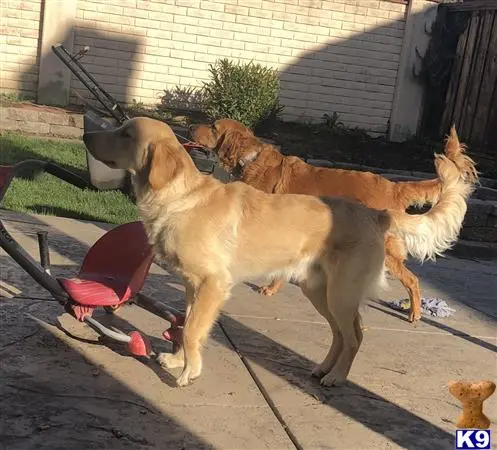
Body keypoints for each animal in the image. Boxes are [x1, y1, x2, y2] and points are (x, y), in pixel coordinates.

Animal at [189, 119, 476, 324]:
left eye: (213, 126)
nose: (190, 126)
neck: (250, 157)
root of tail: (392, 186)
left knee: (412, 280)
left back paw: (414, 313)